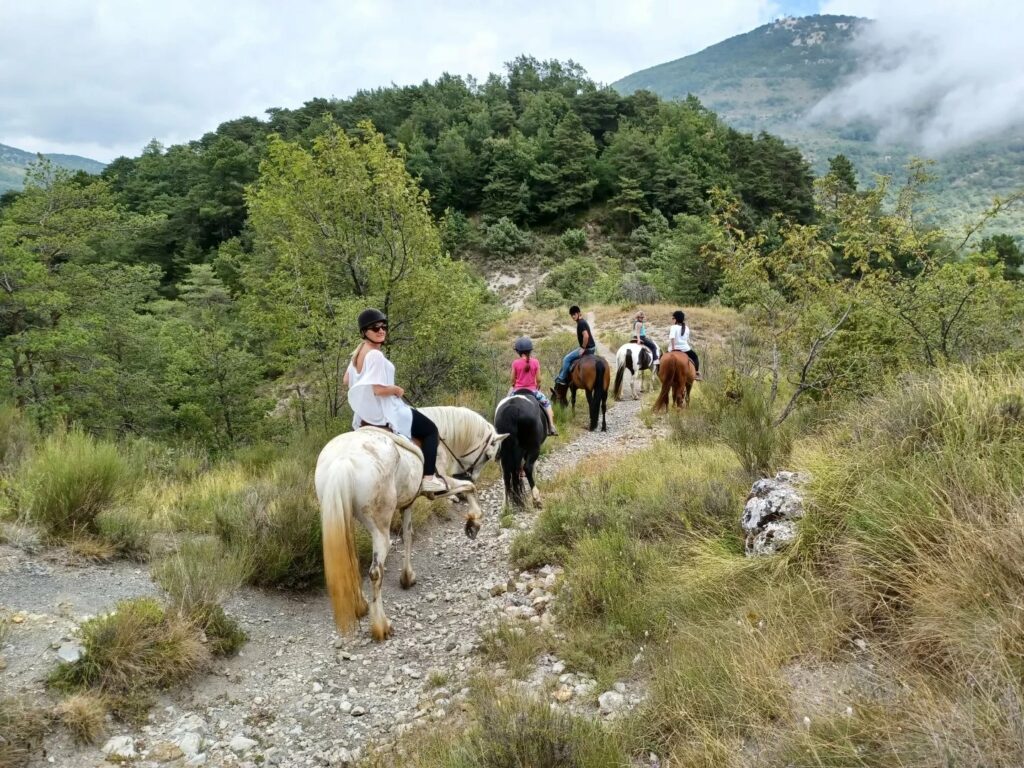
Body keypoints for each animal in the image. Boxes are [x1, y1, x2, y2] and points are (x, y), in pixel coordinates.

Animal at [315, 406, 507, 641]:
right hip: (380, 527)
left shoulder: (407, 502)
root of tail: (343, 460)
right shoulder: (441, 487)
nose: (471, 473)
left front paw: (407, 577)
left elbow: (408, 535)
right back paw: (381, 626)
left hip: (344, 516)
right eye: (488, 455)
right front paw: (473, 523)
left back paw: (360, 606)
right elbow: (469, 488)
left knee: (352, 558)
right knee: (375, 572)